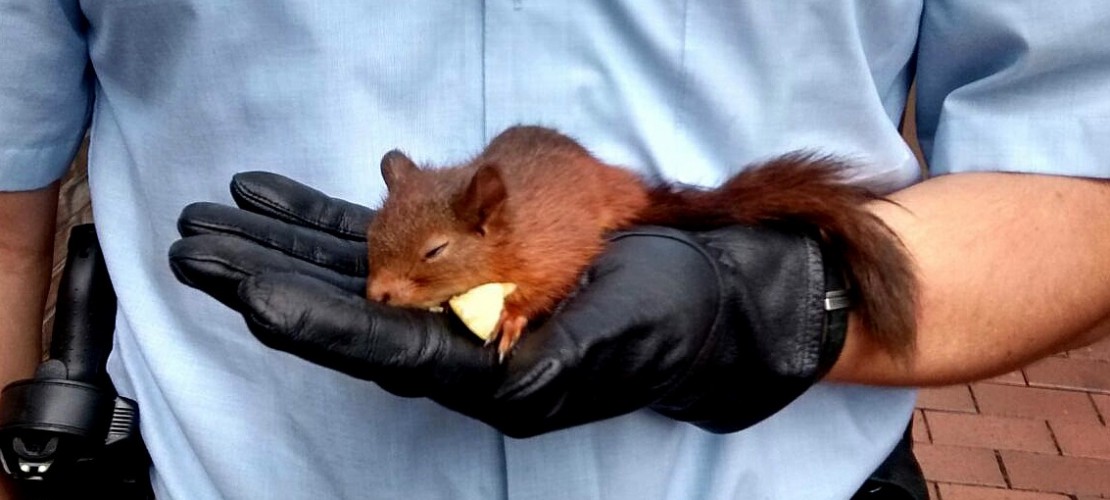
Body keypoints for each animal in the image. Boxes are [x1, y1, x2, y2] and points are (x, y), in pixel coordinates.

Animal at [365, 125, 917, 360]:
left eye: (435, 251)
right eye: (372, 234)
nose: (377, 294)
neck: (509, 234)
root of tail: (615, 184)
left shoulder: (553, 248)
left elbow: (547, 285)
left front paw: (512, 320)